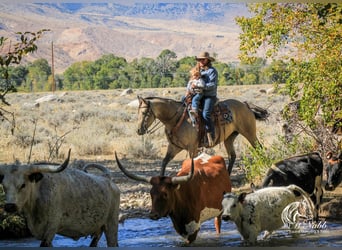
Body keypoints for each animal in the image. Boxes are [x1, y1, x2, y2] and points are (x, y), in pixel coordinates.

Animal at [136, 95, 268, 176]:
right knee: (232, 156)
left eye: (144, 112)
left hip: (249, 133)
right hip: (229, 138)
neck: (177, 119)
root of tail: (245, 105)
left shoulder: (192, 148)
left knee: (259, 148)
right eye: (137, 112)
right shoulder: (174, 147)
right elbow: (164, 162)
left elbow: (192, 165)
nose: (138, 130)